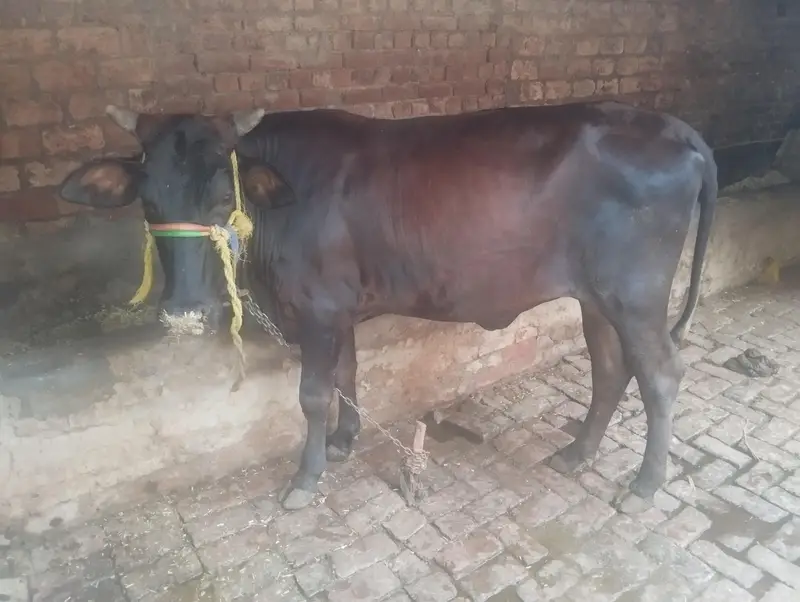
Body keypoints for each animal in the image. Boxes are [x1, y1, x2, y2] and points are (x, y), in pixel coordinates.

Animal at [59, 100, 718, 512]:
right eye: (148, 200)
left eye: (224, 196)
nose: (186, 312)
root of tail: (675, 129)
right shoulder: (338, 308)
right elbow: (349, 374)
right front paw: (345, 440)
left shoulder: (319, 308)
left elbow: (313, 393)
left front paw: (307, 476)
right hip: (596, 298)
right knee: (610, 368)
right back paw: (577, 454)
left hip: (635, 296)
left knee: (661, 375)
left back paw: (644, 486)